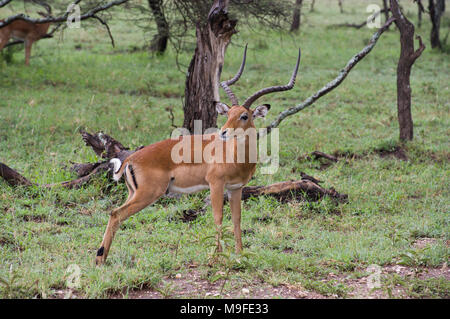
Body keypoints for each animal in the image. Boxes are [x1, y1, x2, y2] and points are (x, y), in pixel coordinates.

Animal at [95, 45, 300, 264]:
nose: (223, 132)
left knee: (115, 214)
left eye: (244, 115)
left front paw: (239, 255)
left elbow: (237, 219)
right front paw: (216, 257)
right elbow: (218, 217)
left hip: (134, 193)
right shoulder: (215, 184)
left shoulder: (236, 188)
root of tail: (131, 159)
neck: (236, 157)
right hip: (148, 194)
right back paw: (100, 260)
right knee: (115, 213)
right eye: (228, 114)